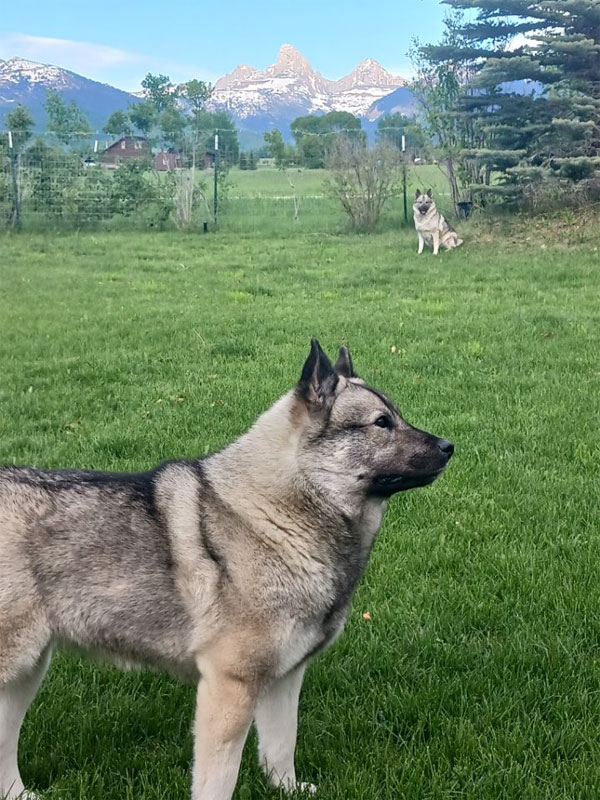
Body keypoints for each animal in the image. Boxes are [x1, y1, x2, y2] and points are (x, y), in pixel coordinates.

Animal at [0, 340, 452, 800]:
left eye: (396, 416)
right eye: (381, 423)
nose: (449, 445)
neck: (277, 514)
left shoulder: (284, 679)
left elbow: (281, 746)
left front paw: (286, 789)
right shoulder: (230, 685)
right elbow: (220, 778)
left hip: (27, 672)